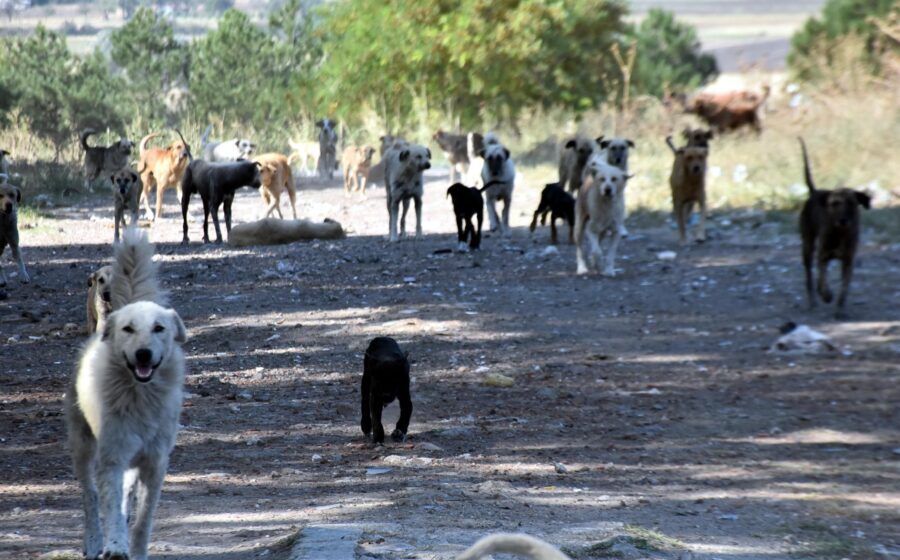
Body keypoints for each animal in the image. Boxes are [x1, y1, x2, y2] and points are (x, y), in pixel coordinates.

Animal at [67, 229, 188, 560]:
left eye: (159, 328)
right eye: (128, 329)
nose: (143, 354)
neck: (140, 395)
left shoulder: (155, 463)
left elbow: (143, 518)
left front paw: (136, 550)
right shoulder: (111, 457)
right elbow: (109, 507)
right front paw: (116, 547)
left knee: (123, 497)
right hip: (83, 448)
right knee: (90, 498)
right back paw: (94, 542)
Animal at [800, 138, 868, 318]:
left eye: (852, 203)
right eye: (835, 204)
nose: (843, 220)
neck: (840, 233)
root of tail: (815, 192)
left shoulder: (848, 261)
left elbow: (844, 289)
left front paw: (839, 309)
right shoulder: (822, 256)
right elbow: (822, 279)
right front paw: (826, 295)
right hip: (807, 246)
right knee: (809, 277)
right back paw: (813, 301)